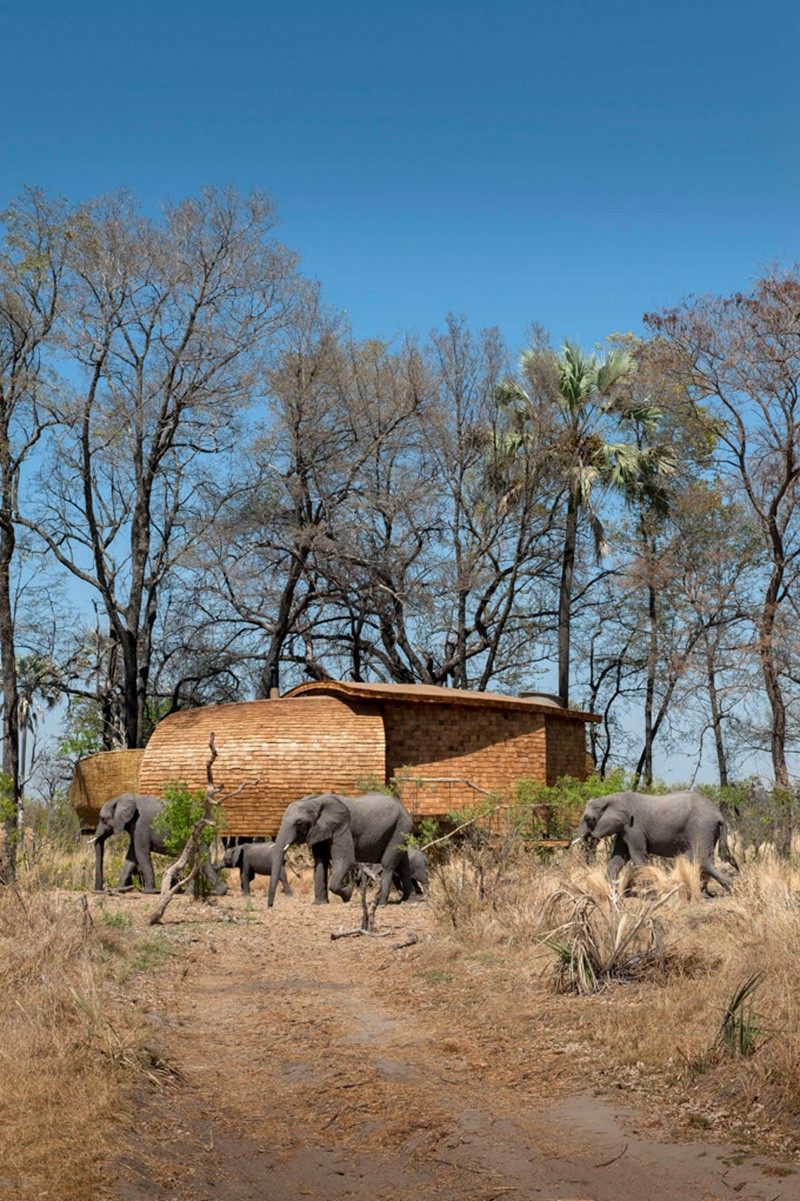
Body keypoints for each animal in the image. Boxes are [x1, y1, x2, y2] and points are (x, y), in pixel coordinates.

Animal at [267, 792, 413, 903]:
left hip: (400, 828)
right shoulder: (320, 830)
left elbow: (344, 860)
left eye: (299, 823)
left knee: (388, 864)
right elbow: (320, 861)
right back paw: (409, 900)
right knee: (403, 865)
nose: (270, 906)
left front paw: (348, 894)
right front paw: (320, 903)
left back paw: (382, 902)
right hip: (401, 831)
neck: (315, 802)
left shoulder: (342, 827)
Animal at [574, 787, 735, 893]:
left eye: (588, 818)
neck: (609, 798)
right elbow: (618, 858)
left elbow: (637, 855)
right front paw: (611, 891)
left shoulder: (634, 827)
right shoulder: (624, 829)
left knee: (702, 860)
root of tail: (719, 815)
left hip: (702, 828)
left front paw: (652, 889)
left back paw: (729, 887)